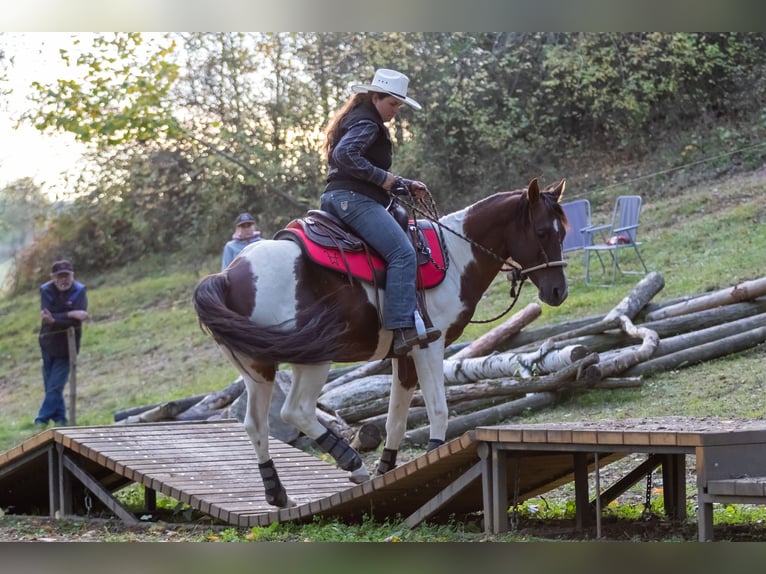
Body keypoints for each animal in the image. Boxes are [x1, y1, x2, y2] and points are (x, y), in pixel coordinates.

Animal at [192, 177, 569, 508]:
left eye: (563, 231)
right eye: (541, 231)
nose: (558, 292)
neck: (455, 256)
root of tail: (227, 276)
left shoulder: (405, 355)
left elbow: (396, 420)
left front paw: (387, 473)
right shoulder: (429, 347)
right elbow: (438, 408)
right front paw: (433, 455)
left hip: (258, 368)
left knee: (256, 423)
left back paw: (279, 495)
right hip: (313, 357)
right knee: (294, 410)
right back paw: (351, 463)